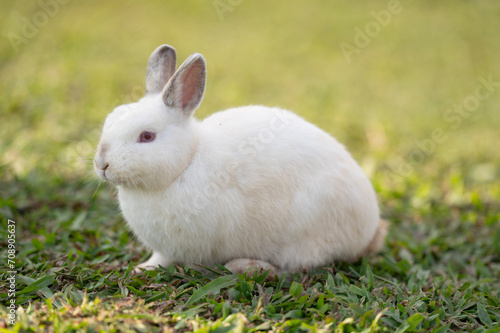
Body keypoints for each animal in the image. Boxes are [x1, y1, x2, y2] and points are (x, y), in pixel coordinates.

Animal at [95, 45, 388, 276]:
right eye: (110, 119)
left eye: (147, 136)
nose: (101, 164)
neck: (185, 163)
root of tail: (369, 227)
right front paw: (141, 268)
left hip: (305, 235)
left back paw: (247, 267)